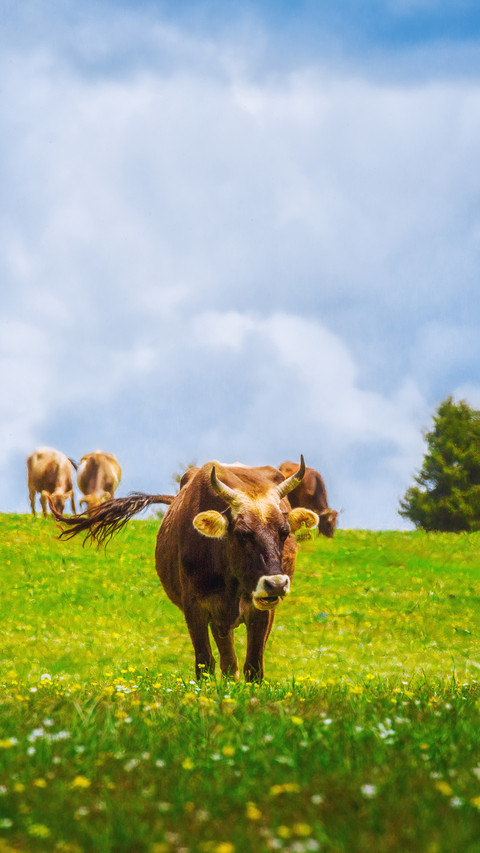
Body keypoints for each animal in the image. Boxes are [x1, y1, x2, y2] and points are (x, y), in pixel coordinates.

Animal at [53, 457, 318, 681]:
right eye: (243, 533)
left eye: (284, 532)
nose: (276, 584)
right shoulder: (195, 608)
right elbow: (205, 663)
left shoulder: (261, 611)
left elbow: (253, 667)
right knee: (227, 662)